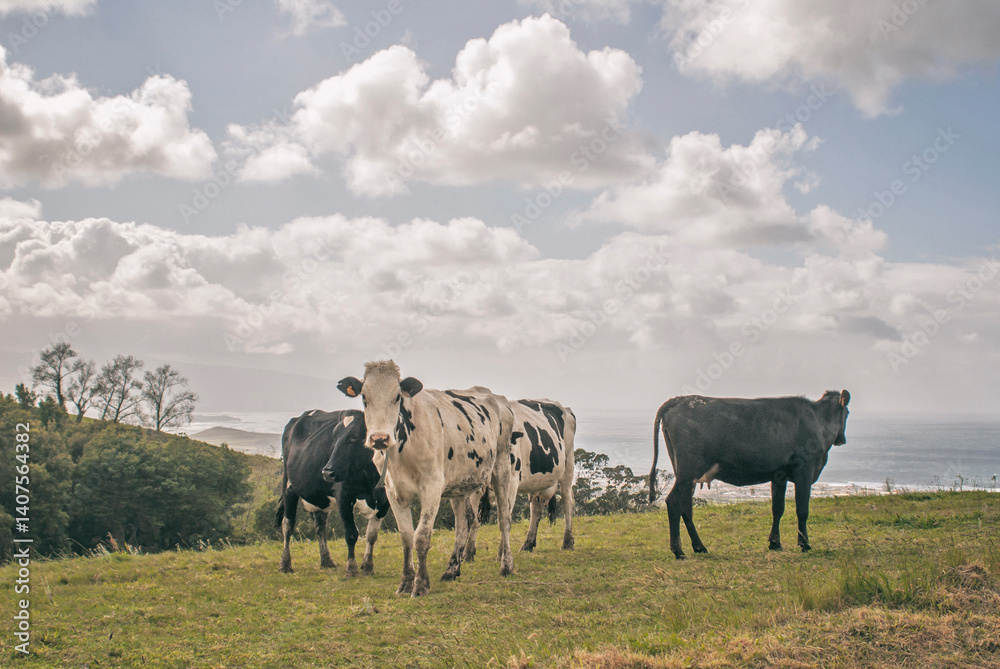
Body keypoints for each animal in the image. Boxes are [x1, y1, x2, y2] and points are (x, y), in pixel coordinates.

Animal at [276, 408, 391, 575]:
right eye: (334, 437)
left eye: (356, 437)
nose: (327, 472)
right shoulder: (343, 496)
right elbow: (351, 533)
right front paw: (351, 567)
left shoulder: (385, 501)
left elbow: (372, 535)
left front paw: (368, 566)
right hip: (288, 485)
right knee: (287, 525)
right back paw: (285, 564)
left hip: (319, 497)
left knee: (320, 526)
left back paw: (326, 560)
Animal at [337, 360, 517, 597]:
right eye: (364, 397)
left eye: (397, 397)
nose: (379, 439)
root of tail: (497, 398)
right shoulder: (392, 491)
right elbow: (406, 537)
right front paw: (405, 582)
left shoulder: (431, 488)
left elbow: (421, 536)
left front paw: (421, 584)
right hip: (459, 485)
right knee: (462, 525)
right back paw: (451, 570)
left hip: (502, 468)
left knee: (504, 519)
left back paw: (506, 565)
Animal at [466, 397, 577, 556]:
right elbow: (474, 519)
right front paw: (468, 553)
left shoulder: (511, 482)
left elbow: (505, 516)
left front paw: (502, 552)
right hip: (538, 481)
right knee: (536, 509)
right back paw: (528, 544)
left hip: (568, 467)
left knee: (567, 503)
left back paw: (567, 542)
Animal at [649, 390, 851, 559]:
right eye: (847, 412)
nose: (842, 439)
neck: (818, 421)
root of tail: (679, 399)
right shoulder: (805, 472)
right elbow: (802, 510)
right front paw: (805, 545)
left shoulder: (779, 475)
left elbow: (778, 508)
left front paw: (775, 543)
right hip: (688, 469)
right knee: (674, 502)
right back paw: (679, 551)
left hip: (686, 474)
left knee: (686, 506)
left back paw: (699, 547)